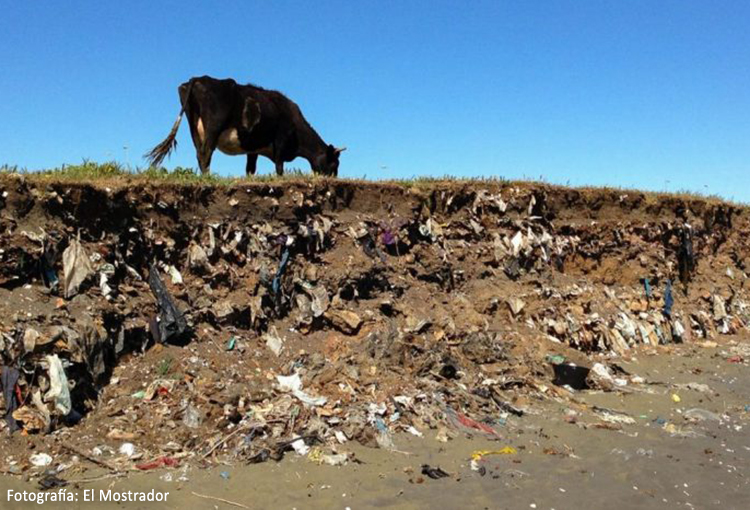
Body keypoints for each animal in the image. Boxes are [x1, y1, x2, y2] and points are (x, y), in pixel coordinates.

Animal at [145, 74, 346, 176]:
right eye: (334, 164)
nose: (333, 180)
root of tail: (199, 78)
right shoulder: (281, 139)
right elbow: (279, 166)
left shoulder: (253, 147)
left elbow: (250, 168)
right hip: (213, 127)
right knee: (206, 152)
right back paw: (207, 178)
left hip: (193, 125)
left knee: (199, 151)